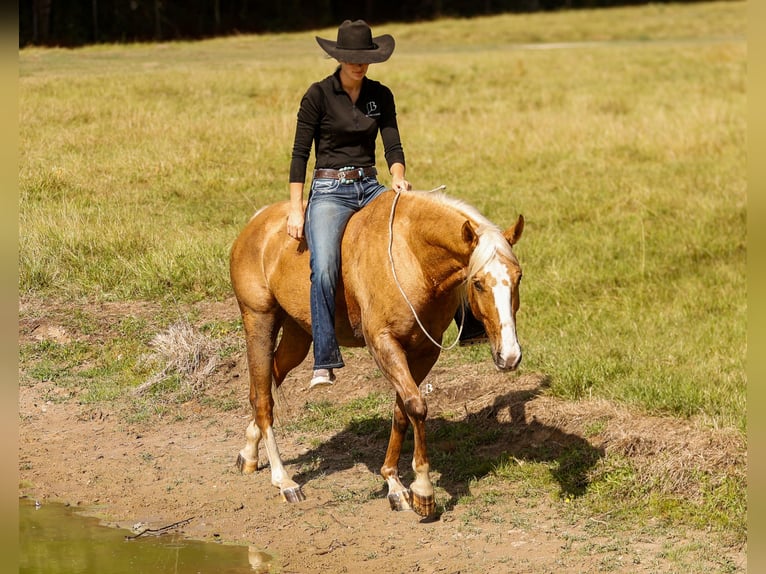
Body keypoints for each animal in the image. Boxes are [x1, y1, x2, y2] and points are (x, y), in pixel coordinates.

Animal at [229, 189, 524, 517]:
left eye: (519, 277)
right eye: (478, 283)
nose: (510, 356)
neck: (412, 256)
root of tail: (256, 223)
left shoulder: (424, 350)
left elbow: (402, 411)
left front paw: (394, 482)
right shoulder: (383, 343)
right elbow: (416, 406)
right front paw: (423, 491)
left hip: (297, 335)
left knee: (268, 381)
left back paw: (249, 453)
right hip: (259, 320)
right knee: (263, 398)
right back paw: (284, 481)